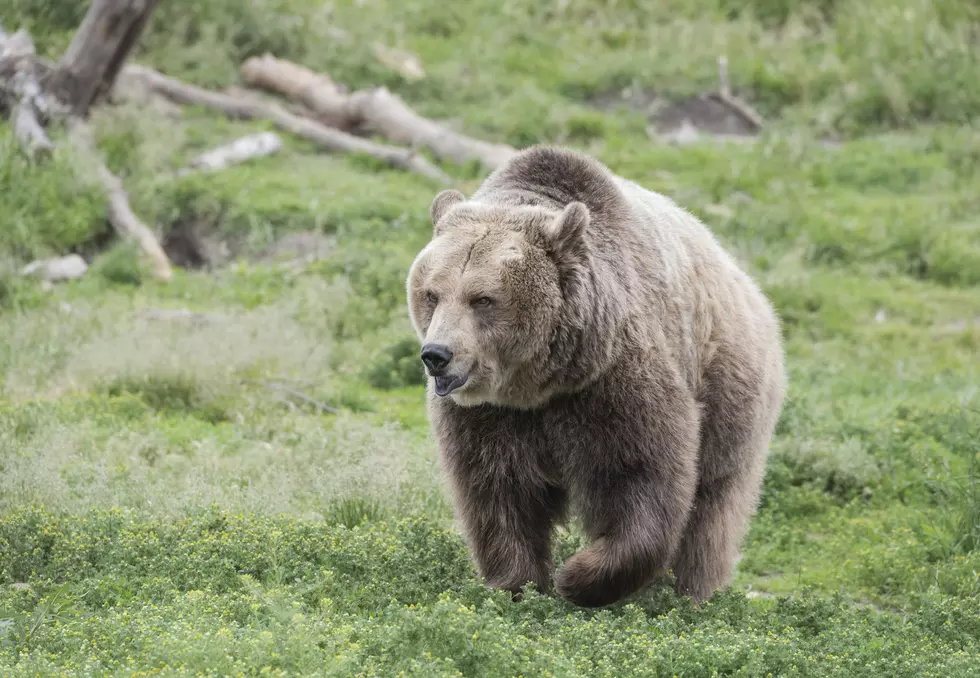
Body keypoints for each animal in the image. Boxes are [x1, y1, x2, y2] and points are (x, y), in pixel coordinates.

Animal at [406, 146, 788, 608]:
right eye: (431, 293)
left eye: (483, 299)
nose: (437, 356)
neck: (539, 386)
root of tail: (754, 291)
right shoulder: (490, 415)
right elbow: (496, 489)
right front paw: (517, 583)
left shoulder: (611, 381)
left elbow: (641, 474)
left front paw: (578, 577)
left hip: (728, 389)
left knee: (714, 505)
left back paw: (691, 594)